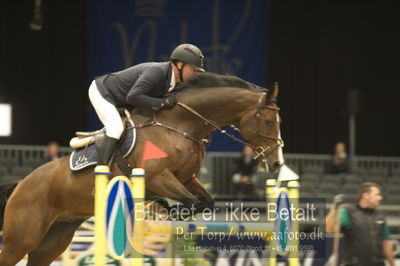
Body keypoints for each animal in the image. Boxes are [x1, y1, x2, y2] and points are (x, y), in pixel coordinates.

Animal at [0, 72, 284, 266]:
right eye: (270, 121)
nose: (276, 163)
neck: (181, 124)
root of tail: (21, 184)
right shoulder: (159, 177)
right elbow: (192, 202)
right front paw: (168, 209)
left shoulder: (186, 178)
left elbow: (206, 202)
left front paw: (169, 209)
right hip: (21, 238)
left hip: (53, 240)